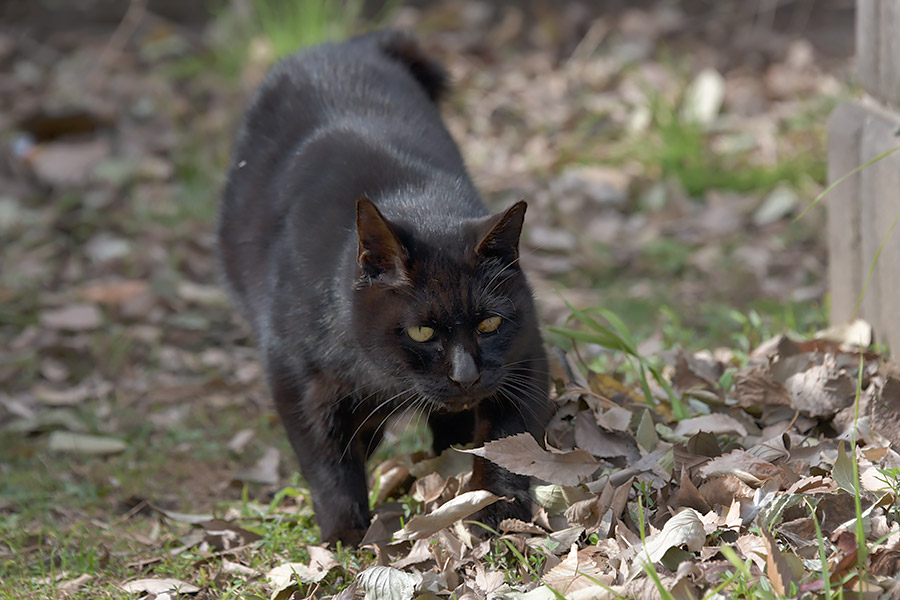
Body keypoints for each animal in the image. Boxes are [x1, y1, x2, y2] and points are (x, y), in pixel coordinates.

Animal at [221, 31, 552, 548]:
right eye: (421, 332)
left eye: (490, 323)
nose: (466, 376)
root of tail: (345, 44)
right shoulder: (297, 378)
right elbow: (328, 464)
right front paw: (346, 536)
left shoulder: (523, 359)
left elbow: (506, 443)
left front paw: (493, 510)